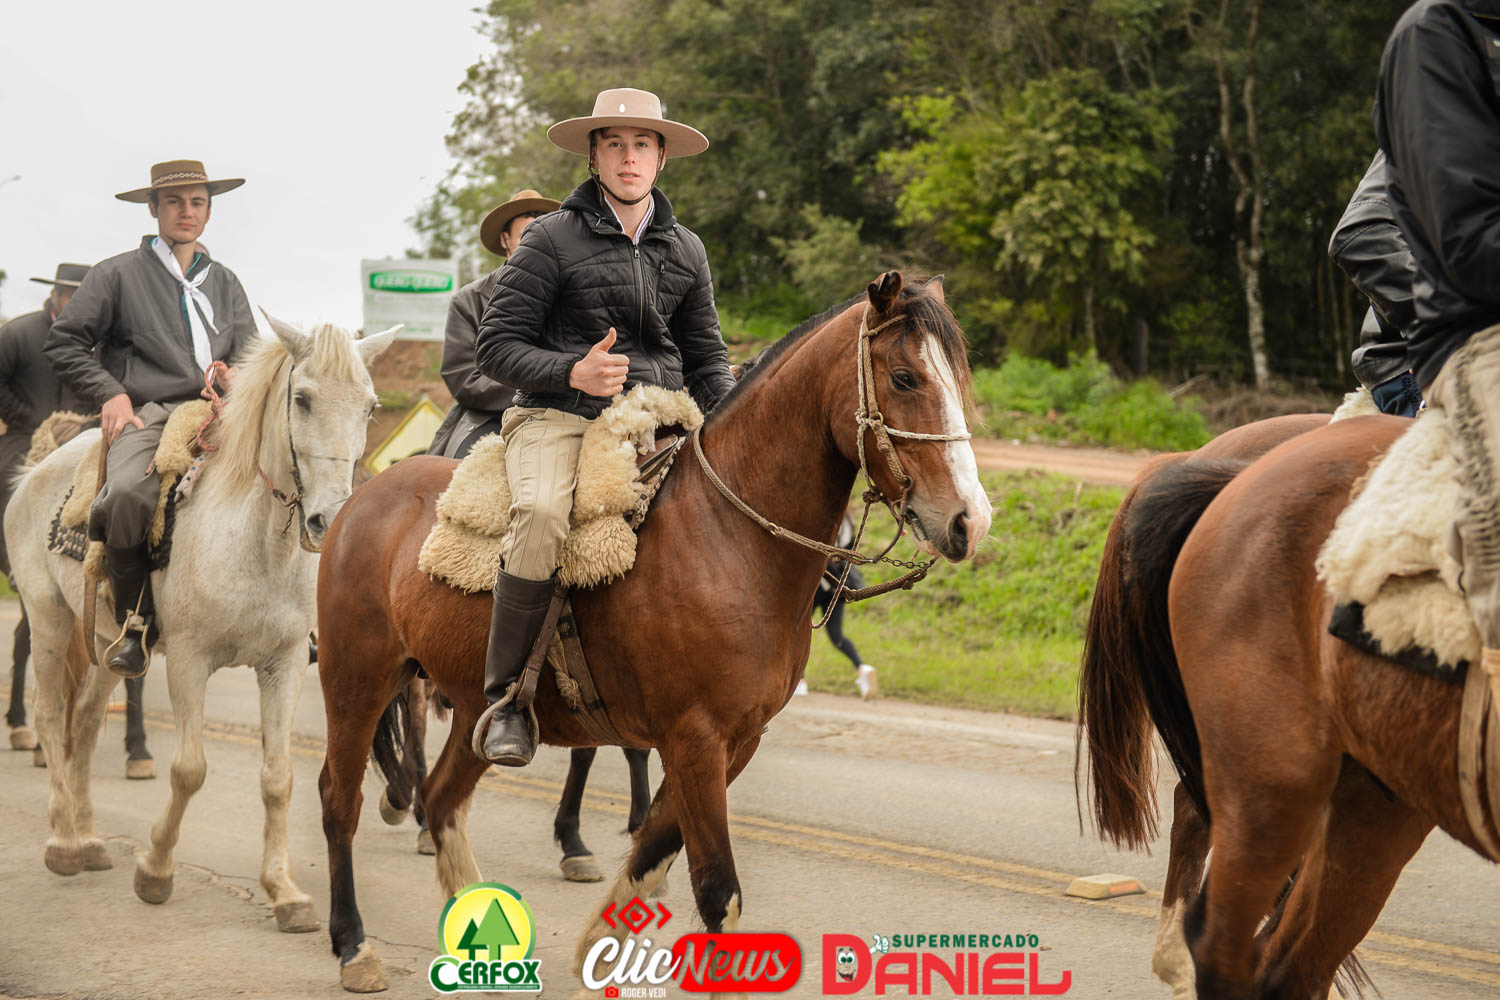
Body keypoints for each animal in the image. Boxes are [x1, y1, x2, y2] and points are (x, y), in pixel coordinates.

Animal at [6, 316, 395, 933]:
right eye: (303, 399)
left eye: (370, 406)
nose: (328, 519)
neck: (255, 540)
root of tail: (36, 468)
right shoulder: (189, 660)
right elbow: (189, 769)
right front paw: (156, 868)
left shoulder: (284, 664)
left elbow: (278, 777)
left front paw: (284, 891)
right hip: (48, 617)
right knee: (48, 714)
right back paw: (64, 841)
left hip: (107, 644)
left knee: (85, 720)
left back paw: (88, 839)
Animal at [312, 271, 990, 992]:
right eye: (905, 377)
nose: (970, 520)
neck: (728, 536)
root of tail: (366, 494)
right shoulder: (695, 738)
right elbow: (717, 891)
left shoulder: (734, 741)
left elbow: (655, 848)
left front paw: (601, 942)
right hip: (357, 680)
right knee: (340, 798)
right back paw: (354, 946)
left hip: (473, 710)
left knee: (440, 802)